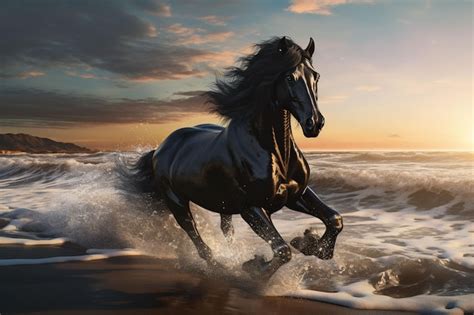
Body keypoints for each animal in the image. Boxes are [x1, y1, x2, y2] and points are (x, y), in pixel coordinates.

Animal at [131, 37, 342, 278]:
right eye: (290, 77)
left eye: (316, 76)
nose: (315, 123)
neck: (276, 153)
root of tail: (160, 149)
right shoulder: (251, 208)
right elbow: (282, 250)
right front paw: (254, 267)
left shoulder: (298, 194)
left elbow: (335, 219)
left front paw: (308, 243)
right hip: (177, 203)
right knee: (197, 240)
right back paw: (221, 267)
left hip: (222, 206)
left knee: (226, 230)